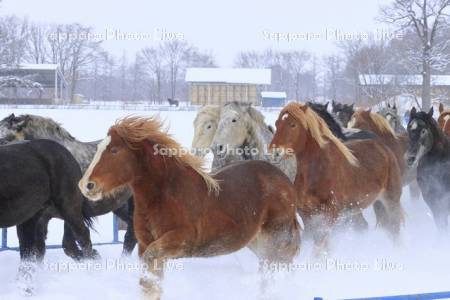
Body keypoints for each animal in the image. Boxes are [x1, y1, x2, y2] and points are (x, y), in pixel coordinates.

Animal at [79, 116, 300, 298]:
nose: (86, 185)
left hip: (277, 239)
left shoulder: (179, 241)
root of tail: (285, 181)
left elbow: (149, 273)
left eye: (114, 150)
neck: (166, 195)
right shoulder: (145, 244)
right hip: (258, 242)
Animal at [268, 103, 402, 253]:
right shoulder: (307, 215)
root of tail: (384, 148)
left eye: (293, 124)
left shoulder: (330, 214)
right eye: (277, 123)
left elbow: (320, 246)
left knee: (395, 228)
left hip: (391, 200)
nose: (275, 152)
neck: (318, 171)